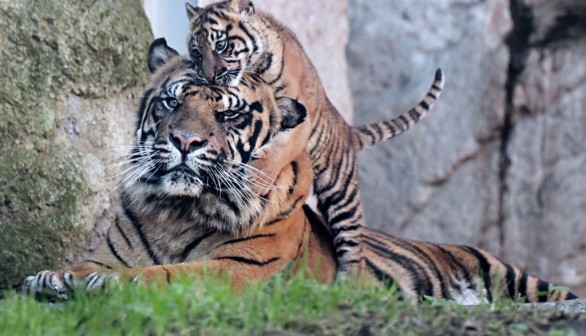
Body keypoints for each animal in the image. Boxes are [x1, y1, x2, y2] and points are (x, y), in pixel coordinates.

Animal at [185, 0, 444, 278]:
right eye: (196, 53)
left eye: (221, 45)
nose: (209, 77)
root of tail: (347, 128)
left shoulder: (299, 117)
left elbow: (282, 149)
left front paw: (256, 177)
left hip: (341, 192)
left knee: (354, 241)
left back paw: (348, 280)